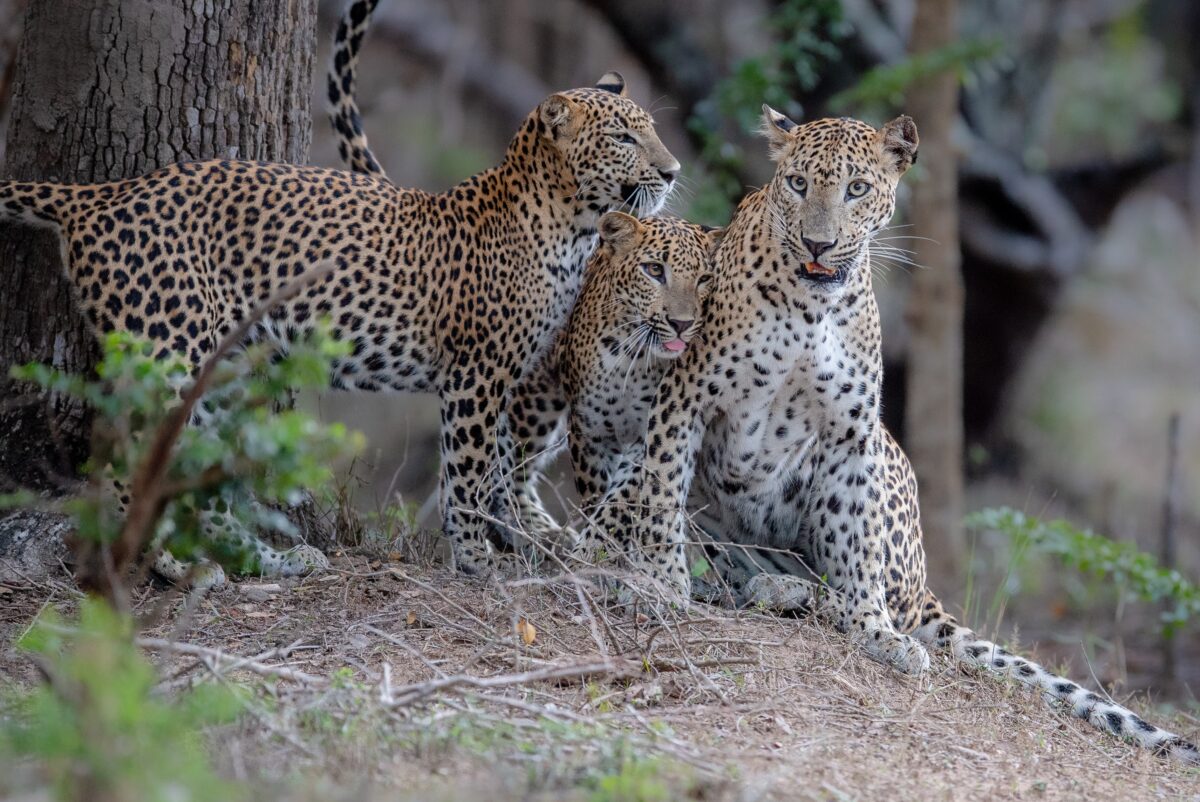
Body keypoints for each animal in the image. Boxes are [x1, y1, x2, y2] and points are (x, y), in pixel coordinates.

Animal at [0, 0, 679, 587]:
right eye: (623, 139)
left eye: (653, 131)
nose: (672, 172)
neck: (571, 226)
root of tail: (98, 196)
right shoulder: (477, 373)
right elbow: (467, 473)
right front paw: (477, 560)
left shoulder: (510, 374)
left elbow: (496, 469)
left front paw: (512, 541)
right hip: (169, 353)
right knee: (126, 467)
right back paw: (170, 564)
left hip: (219, 372)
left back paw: (270, 560)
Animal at [497, 212, 721, 558]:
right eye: (654, 270)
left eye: (704, 278)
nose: (681, 324)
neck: (632, 359)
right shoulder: (589, 432)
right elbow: (596, 493)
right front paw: (599, 548)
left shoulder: (651, 432)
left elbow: (623, 496)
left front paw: (600, 545)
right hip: (535, 400)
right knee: (515, 460)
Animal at [593, 106, 1198, 763]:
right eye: (798, 184)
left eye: (857, 189)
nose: (819, 243)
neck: (810, 307)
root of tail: (927, 587)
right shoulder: (684, 400)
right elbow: (660, 504)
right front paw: (662, 587)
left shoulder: (852, 432)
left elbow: (856, 547)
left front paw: (872, 632)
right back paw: (748, 587)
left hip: (888, 471)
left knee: (866, 590)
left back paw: (793, 593)